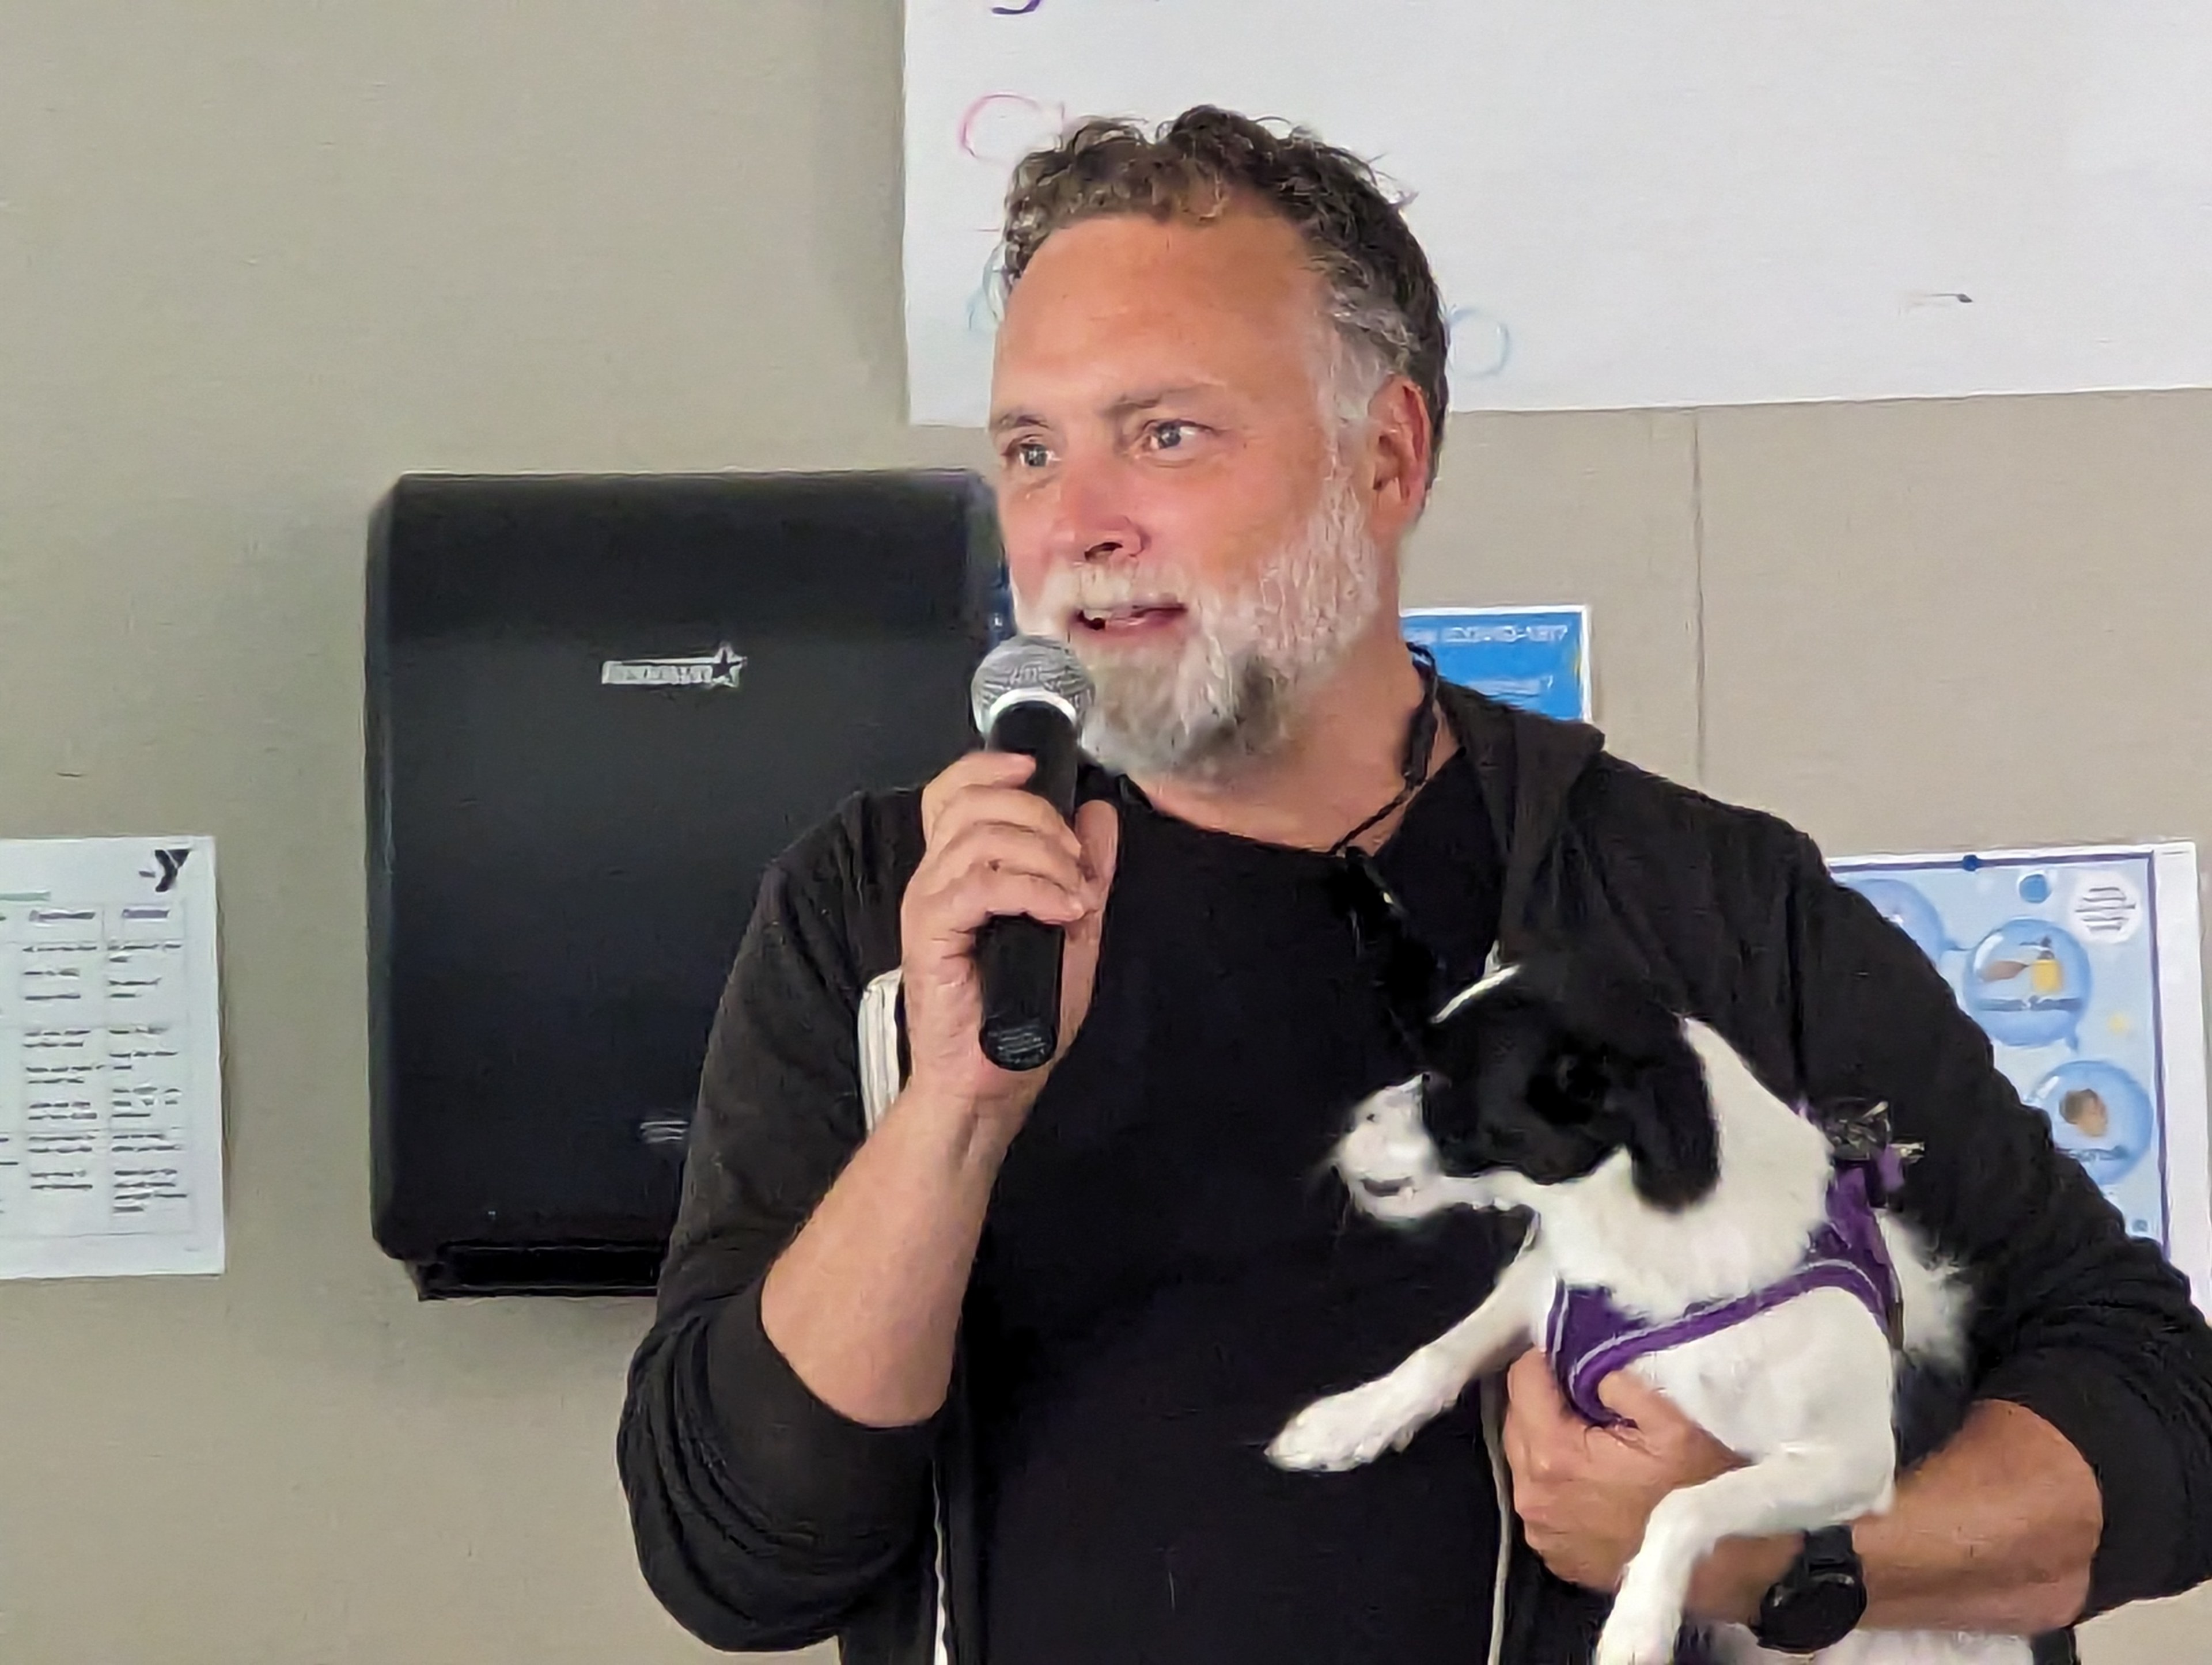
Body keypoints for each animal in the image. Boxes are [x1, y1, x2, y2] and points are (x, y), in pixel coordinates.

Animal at [1274, 946, 2026, 1663]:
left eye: (1434, 1081)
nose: (1349, 1117)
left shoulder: (1852, 1460)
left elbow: (1684, 1500)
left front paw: (1638, 1622)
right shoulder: (1542, 1284)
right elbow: (1440, 1354)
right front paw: (1347, 1422)